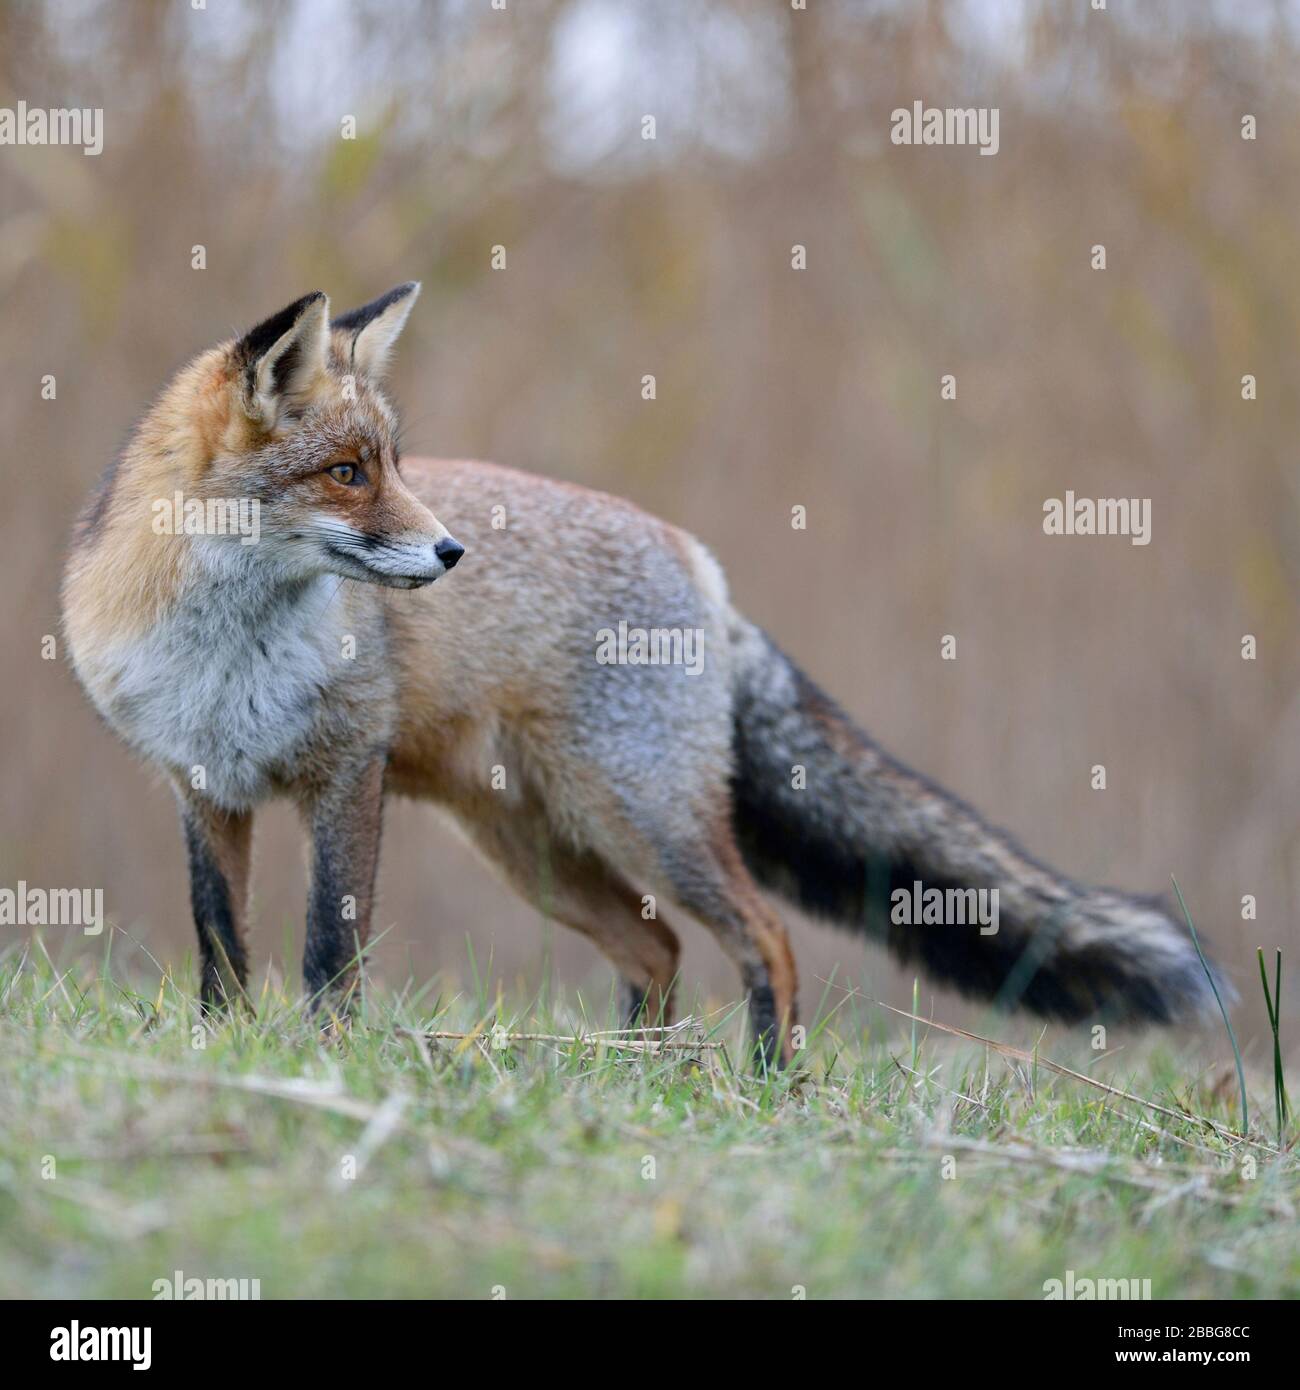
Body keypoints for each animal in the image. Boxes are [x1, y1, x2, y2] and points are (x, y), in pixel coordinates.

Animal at [63, 287, 1229, 1056]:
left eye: (393, 464)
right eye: (348, 472)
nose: (450, 553)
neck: (224, 650)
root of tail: (698, 559)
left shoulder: (346, 773)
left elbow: (326, 946)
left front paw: (328, 1060)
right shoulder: (202, 785)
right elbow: (220, 941)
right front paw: (220, 1052)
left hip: (639, 817)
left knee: (762, 938)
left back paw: (767, 1087)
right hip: (539, 846)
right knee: (657, 947)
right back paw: (640, 1078)